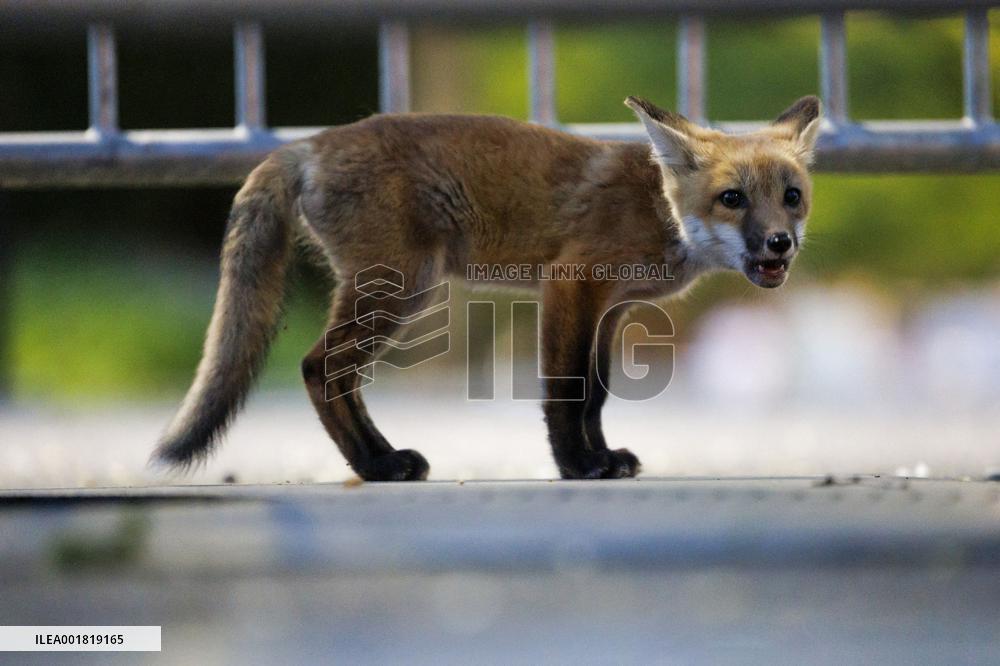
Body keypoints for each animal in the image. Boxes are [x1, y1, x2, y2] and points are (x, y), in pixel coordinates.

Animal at [154, 95, 821, 481]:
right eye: (732, 199)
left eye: (792, 197)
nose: (779, 244)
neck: (661, 212)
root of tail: (309, 143)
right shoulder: (570, 287)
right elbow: (567, 393)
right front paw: (577, 466)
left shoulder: (611, 309)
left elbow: (597, 396)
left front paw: (602, 457)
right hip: (399, 290)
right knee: (320, 368)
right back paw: (374, 465)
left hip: (397, 294)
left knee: (342, 377)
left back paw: (383, 460)